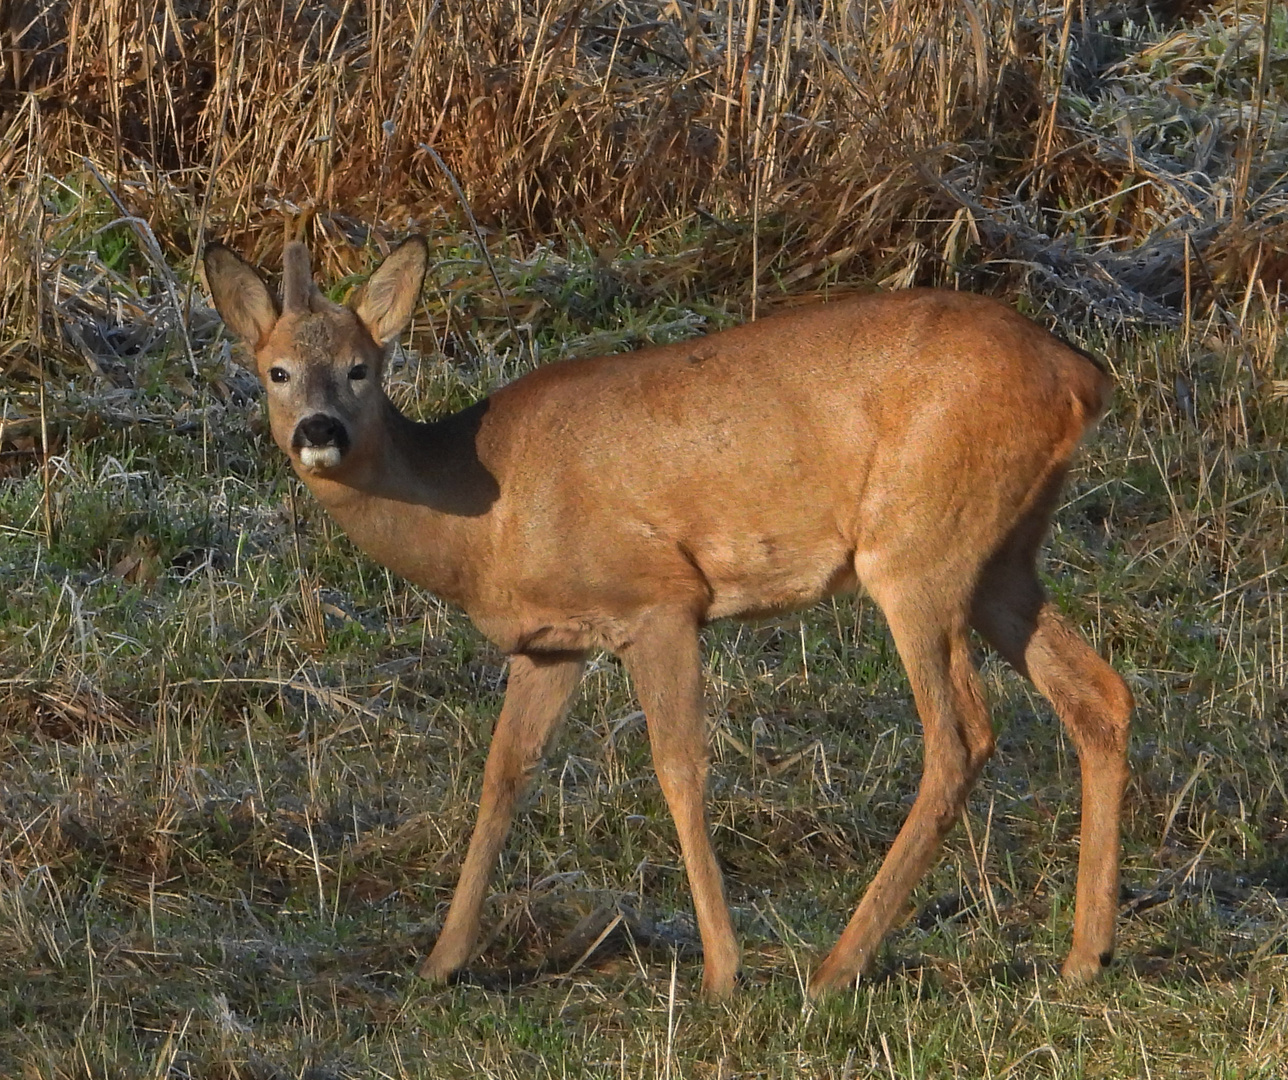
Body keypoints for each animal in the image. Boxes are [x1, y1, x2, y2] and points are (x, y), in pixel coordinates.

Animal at [200, 240, 1128, 998]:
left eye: (363, 366)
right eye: (276, 370)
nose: (319, 429)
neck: (481, 514)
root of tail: (1083, 376)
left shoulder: (659, 600)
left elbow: (680, 769)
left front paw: (723, 972)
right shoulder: (551, 645)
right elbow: (503, 776)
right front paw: (440, 962)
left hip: (915, 550)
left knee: (960, 733)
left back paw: (835, 969)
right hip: (1000, 556)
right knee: (1099, 694)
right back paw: (1084, 957)